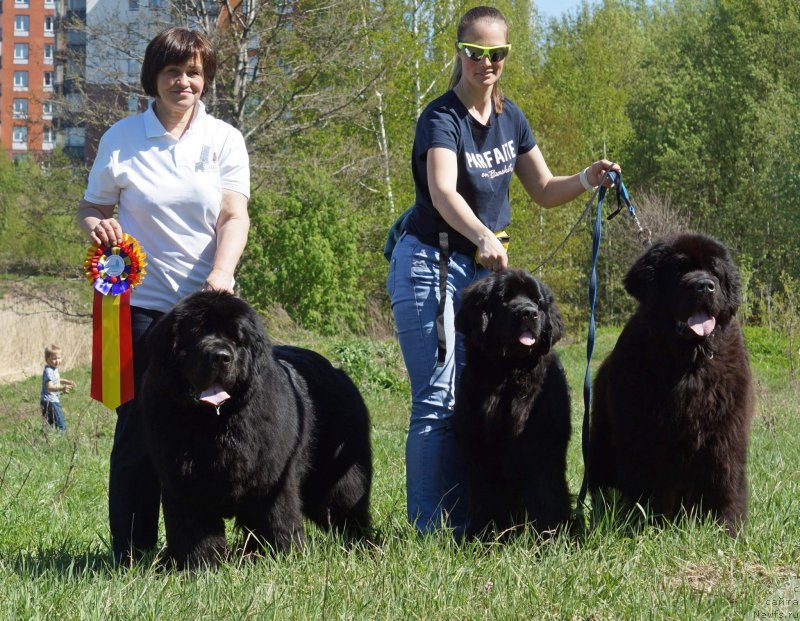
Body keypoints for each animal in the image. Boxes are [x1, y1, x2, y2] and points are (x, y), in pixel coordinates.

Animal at [140, 290, 372, 568]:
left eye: (236, 338)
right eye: (196, 333)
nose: (221, 356)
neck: (214, 423)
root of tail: (338, 372)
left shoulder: (272, 479)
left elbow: (276, 519)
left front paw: (282, 557)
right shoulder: (183, 483)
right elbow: (194, 529)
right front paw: (200, 565)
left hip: (338, 474)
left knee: (347, 505)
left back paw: (364, 545)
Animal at [454, 268, 572, 536]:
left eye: (537, 301)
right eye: (505, 299)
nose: (529, 312)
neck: (509, 375)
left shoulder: (543, 447)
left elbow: (545, 495)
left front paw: (548, 537)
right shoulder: (480, 448)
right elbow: (485, 495)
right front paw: (487, 536)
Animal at [588, 232, 756, 532]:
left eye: (715, 271)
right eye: (679, 269)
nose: (705, 286)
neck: (689, 361)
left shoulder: (726, 429)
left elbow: (726, 476)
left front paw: (729, 528)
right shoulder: (641, 432)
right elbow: (645, 480)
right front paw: (642, 524)